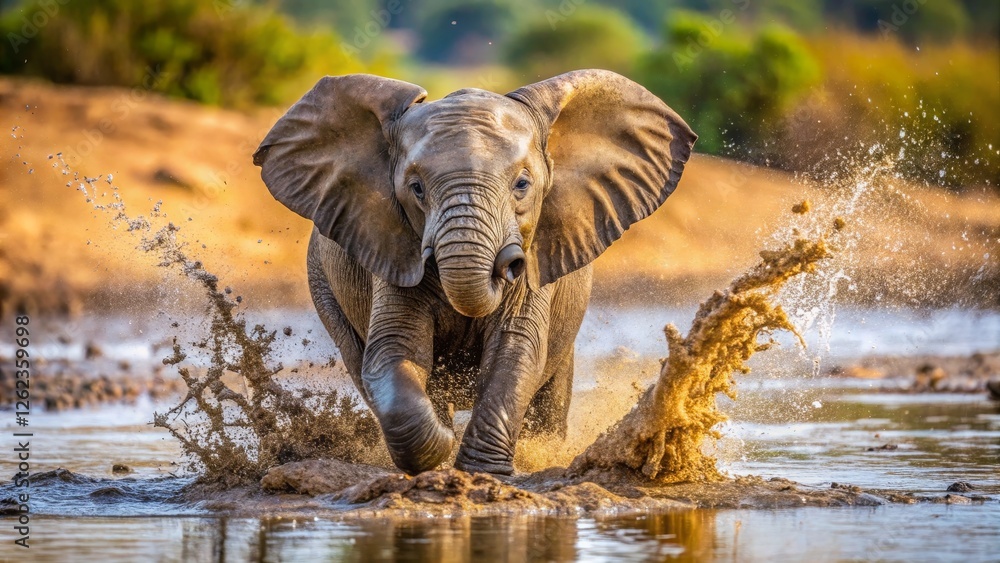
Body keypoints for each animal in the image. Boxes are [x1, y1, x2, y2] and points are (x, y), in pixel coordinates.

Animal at [253, 69, 696, 476]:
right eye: (416, 188)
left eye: (522, 184)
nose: (510, 262)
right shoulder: (393, 248)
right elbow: (393, 350)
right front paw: (442, 445)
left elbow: (516, 351)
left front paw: (482, 472)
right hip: (323, 284)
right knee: (359, 355)